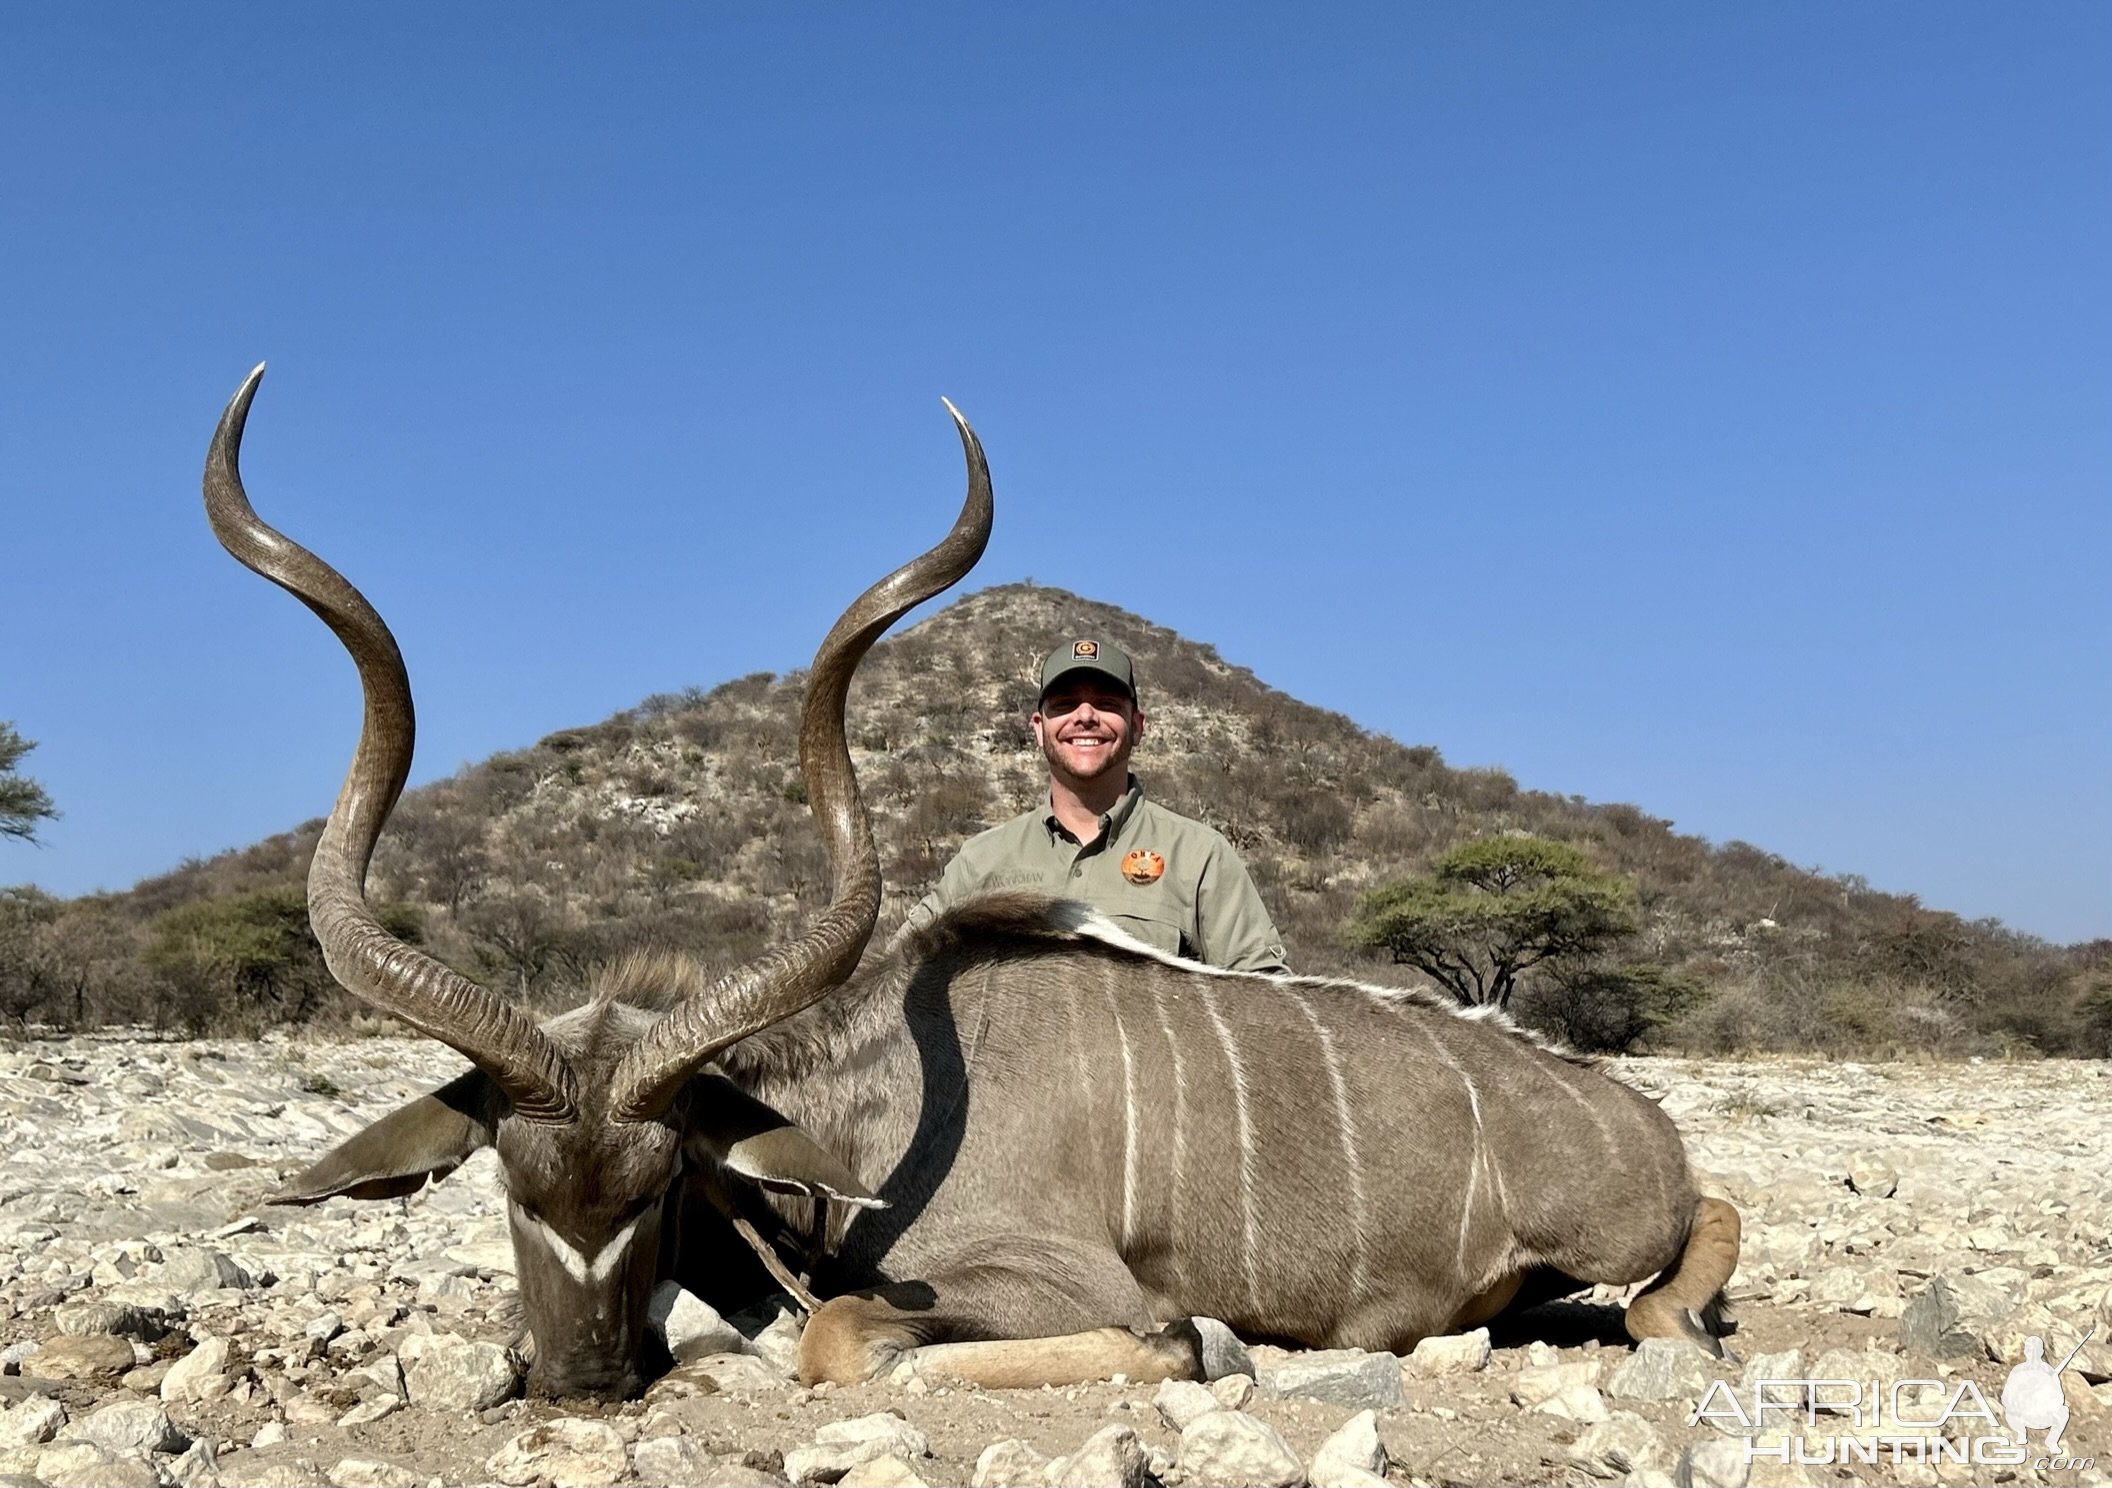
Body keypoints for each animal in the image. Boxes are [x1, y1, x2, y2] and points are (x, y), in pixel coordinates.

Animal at [205, 369, 1740, 1393]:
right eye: (517, 1189)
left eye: (657, 1184)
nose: (582, 1380)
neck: (875, 1108)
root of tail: (1636, 1120)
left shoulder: (1045, 1278)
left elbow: (859, 1335)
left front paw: (1189, 1347)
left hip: (1620, 1234)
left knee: (1685, 1254)